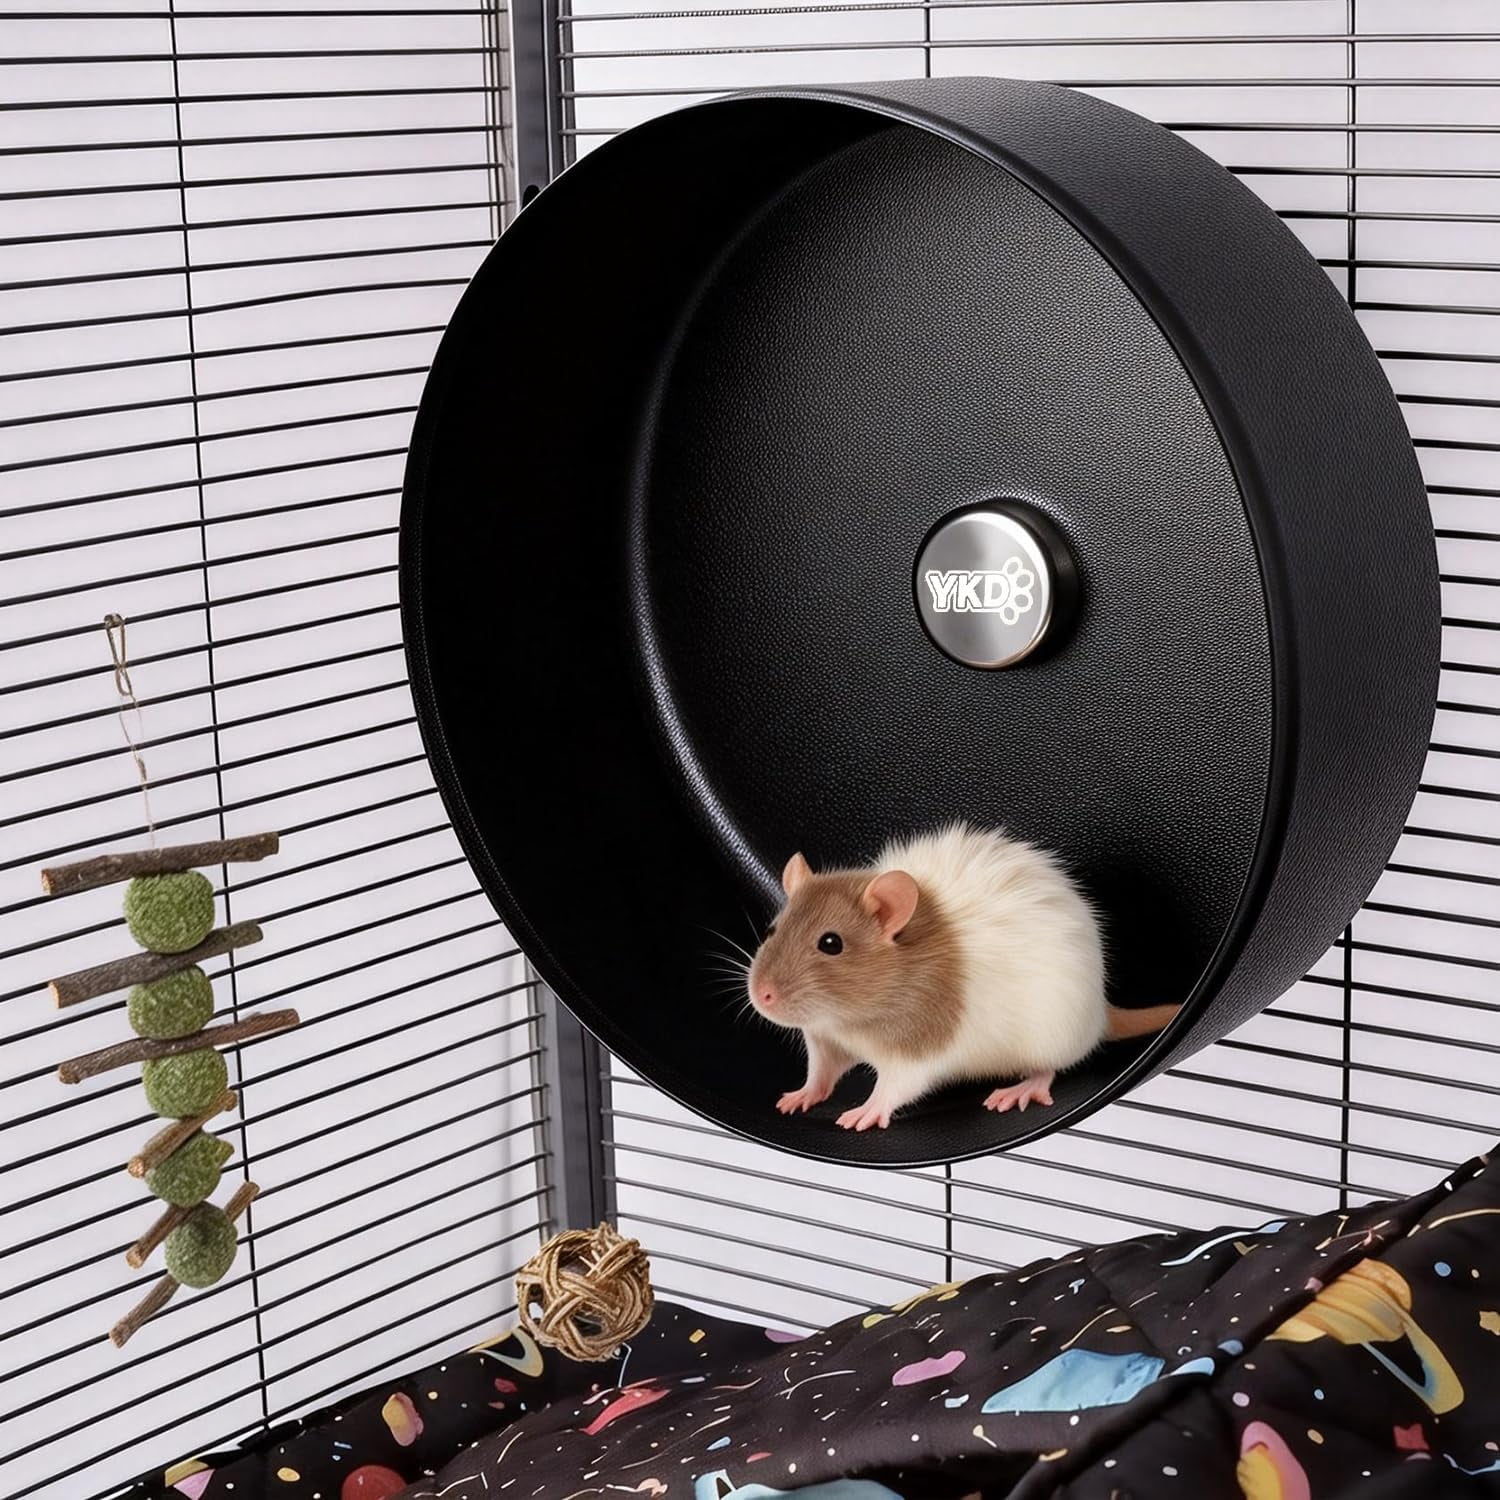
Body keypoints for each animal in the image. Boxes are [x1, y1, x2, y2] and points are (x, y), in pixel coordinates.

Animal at [745, 823, 1179, 1131]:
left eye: (831, 943)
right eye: (771, 931)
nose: (762, 995)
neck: (849, 1020)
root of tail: (1100, 1012)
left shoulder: (921, 1038)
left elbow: (901, 1082)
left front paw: (869, 1107)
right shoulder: (824, 1037)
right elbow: (823, 1068)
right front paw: (804, 1093)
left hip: (1051, 1035)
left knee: (1050, 1067)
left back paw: (1025, 1086)